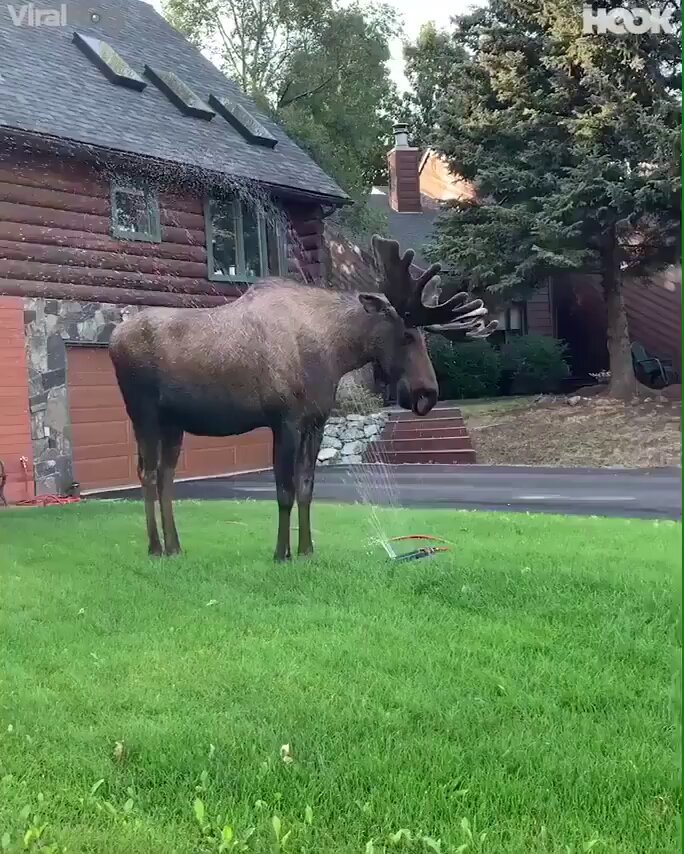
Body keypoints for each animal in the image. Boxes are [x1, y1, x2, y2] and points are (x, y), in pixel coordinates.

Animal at [109, 235, 497, 561]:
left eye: (424, 337)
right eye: (406, 335)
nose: (427, 394)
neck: (334, 352)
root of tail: (113, 339)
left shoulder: (316, 421)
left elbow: (307, 487)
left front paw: (307, 549)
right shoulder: (285, 420)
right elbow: (285, 490)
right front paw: (282, 553)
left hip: (173, 422)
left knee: (166, 475)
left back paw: (174, 545)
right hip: (142, 411)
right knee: (146, 472)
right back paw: (155, 547)